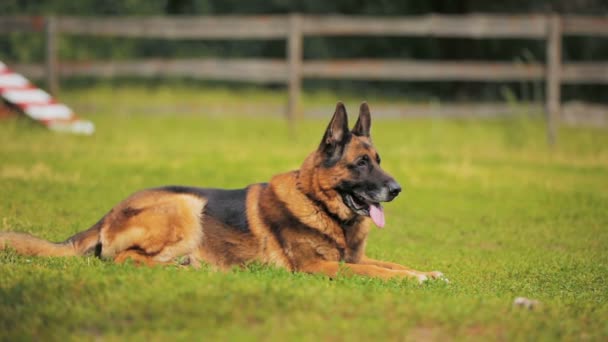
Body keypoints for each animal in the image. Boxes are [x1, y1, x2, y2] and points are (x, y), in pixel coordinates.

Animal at [2, 102, 444, 284]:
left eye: (379, 160)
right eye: (361, 164)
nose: (397, 189)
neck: (317, 202)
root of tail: (108, 213)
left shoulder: (351, 257)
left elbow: (391, 264)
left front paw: (428, 271)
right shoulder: (321, 268)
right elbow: (374, 271)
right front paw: (420, 277)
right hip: (186, 204)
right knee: (125, 260)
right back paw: (181, 269)